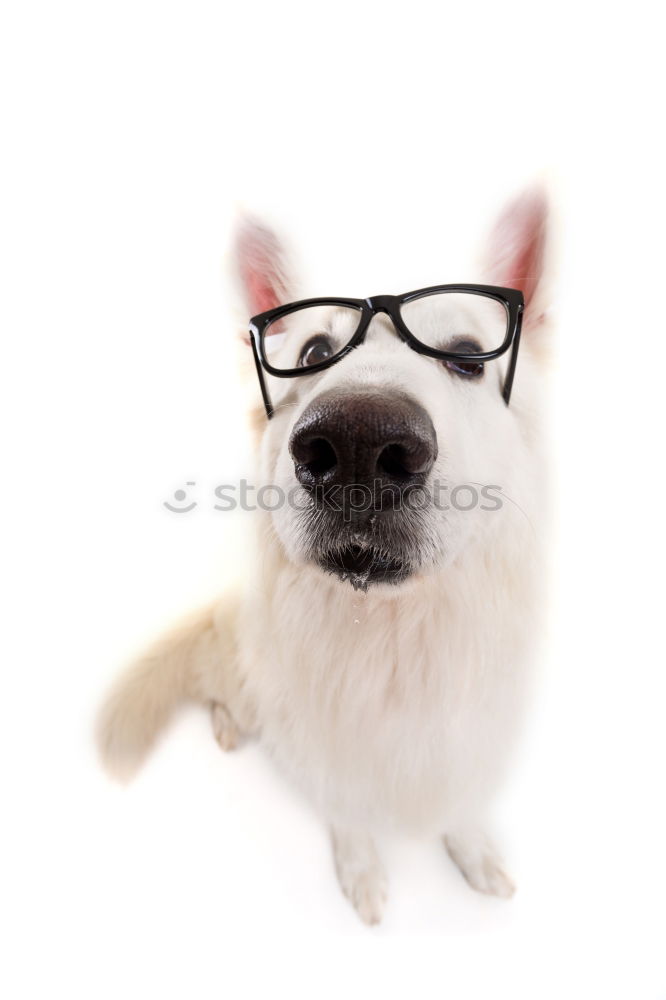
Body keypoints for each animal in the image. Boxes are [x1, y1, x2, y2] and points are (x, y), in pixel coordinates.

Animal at [96, 191, 548, 924]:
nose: (359, 441)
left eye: (468, 356)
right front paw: (362, 874)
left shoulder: (468, 733)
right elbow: (349, 813)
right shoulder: (323, 747)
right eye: (313, 352)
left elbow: (459, 804)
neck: (392, 642)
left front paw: (476, 856)